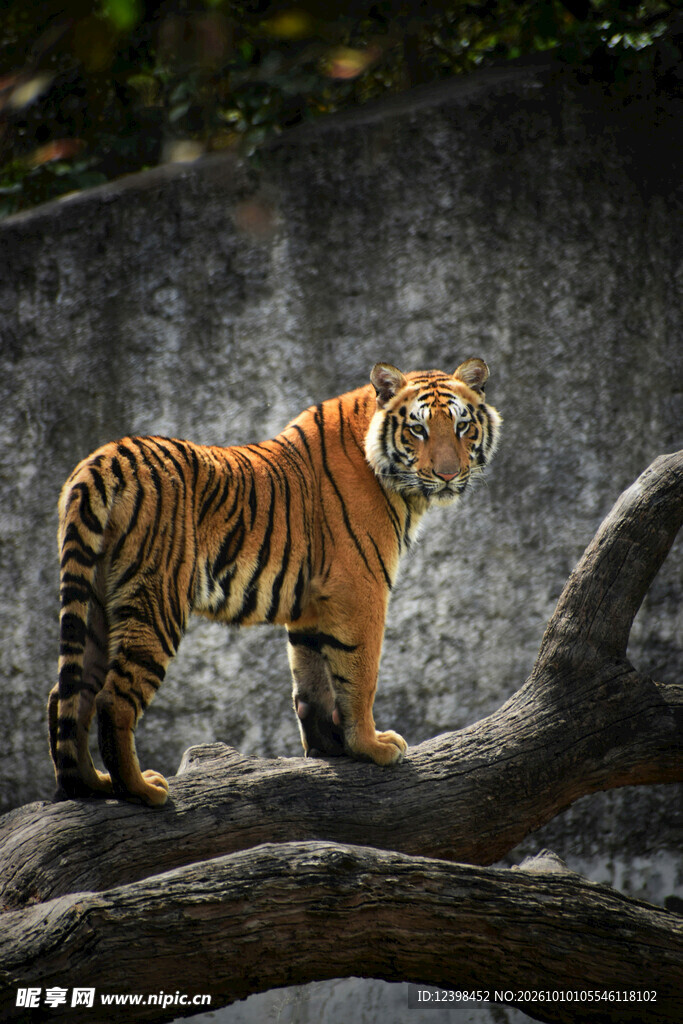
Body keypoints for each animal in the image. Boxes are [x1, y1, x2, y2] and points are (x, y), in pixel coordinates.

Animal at [48, 358, 501, 806]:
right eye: (418, 429)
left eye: (462, 426)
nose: (448, 475)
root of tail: (103, 459)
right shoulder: (361, 588)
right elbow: (359, 674)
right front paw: (371, 746)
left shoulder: (313, 603)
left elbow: (311, 679)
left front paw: (328, 748)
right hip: (157, 600)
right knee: (113, 699)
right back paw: (142, 790)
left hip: (95, 603)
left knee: (68, 695)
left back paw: (91, 784)